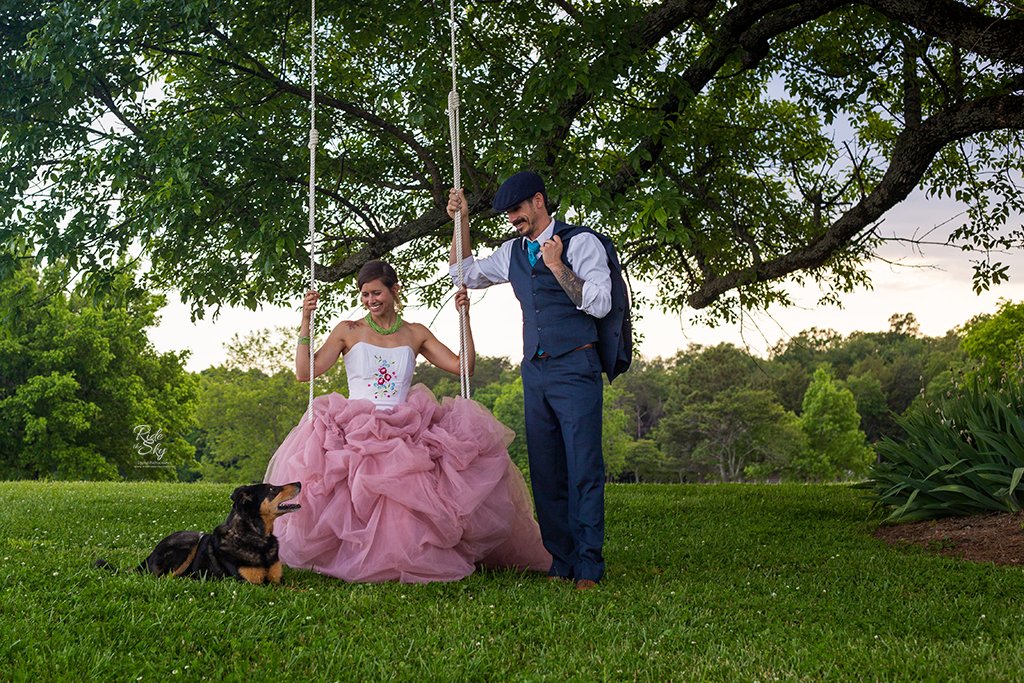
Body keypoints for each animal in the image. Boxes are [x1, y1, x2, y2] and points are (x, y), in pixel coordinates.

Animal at [93, 481, 301, 589]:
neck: (255, 537)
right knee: (162, 578)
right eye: (273, 489)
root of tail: (148, 558)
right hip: (188, 542)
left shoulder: (277, 580)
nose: (299, 482)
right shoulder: (250, 584)